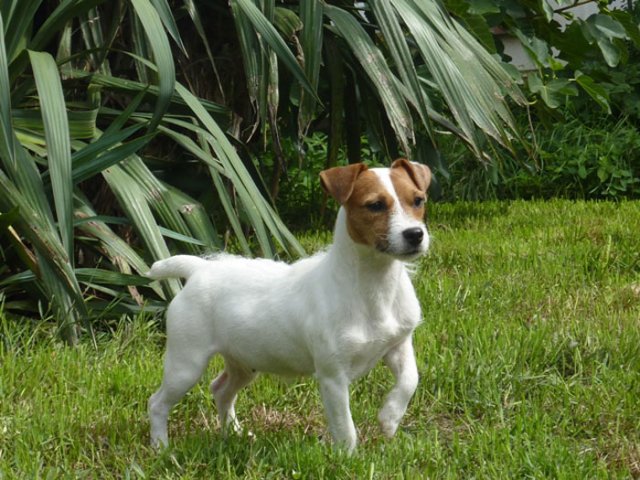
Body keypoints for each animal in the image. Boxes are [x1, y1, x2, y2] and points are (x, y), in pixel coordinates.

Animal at [148, 158, 432, 454]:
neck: (375, 284)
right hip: (186, 363)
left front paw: (390, 418)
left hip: (244, 363)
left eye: (418, 200)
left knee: (221, 389)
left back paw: (234, 433)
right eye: (375, 205)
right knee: (157, 403)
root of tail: (199, 269)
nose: (415, 234)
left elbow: (410, 379)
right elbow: (345, 428)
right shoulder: (333, 377)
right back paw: (161, 448)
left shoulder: (399, 345)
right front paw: (348, 458)